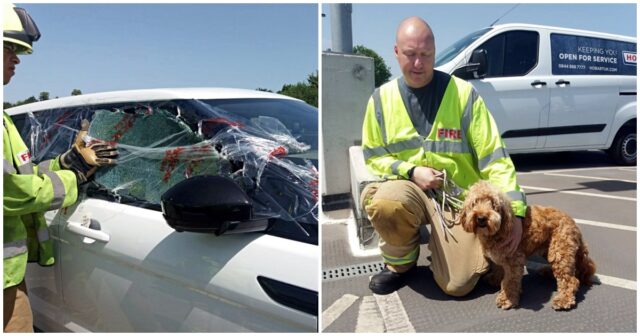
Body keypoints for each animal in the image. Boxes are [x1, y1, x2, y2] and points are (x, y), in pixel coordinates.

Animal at [460, 181, 596, 310]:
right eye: (474, 203)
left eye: (494, 204)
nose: (481, 218)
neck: (500, 229)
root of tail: (573, 223)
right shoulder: (498, 256)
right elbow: (499, 269)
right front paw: (495, 279)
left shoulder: (515, 259)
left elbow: (510, 281)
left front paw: (507, 299)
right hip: (549, 249)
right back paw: (547, 272)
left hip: (559, 250)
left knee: (571, 279)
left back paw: (563, 300)